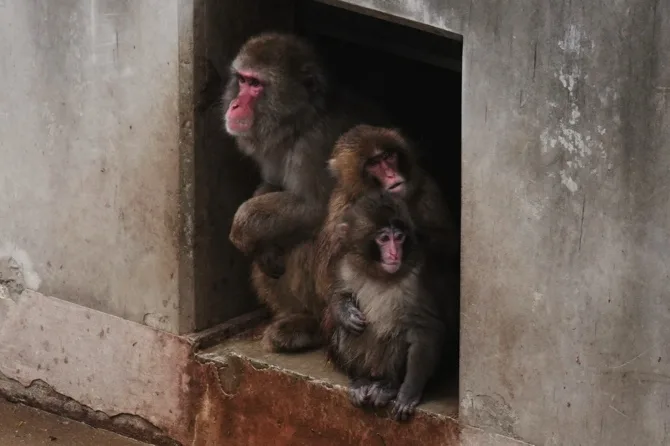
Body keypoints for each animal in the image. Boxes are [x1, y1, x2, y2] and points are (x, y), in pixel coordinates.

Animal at [222, 32, 388, 352]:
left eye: (256, 85)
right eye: (243, 80)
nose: (235, 104)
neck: (301, 122)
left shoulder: (316, 145)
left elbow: (317, 208)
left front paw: (242, 228)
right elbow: (272, 186)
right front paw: (263, 246)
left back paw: (312, 326)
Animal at [323, 190, 445, 421]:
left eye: (399, 237)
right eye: (384, 238)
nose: (394, 254)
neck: (378, 273)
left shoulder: (417, 278)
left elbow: (424, 329)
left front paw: (409, 391)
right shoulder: (346, 265)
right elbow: (337, 295)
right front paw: (344, 312)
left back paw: (387, 386)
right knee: (346, 332)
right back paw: (361, 380)